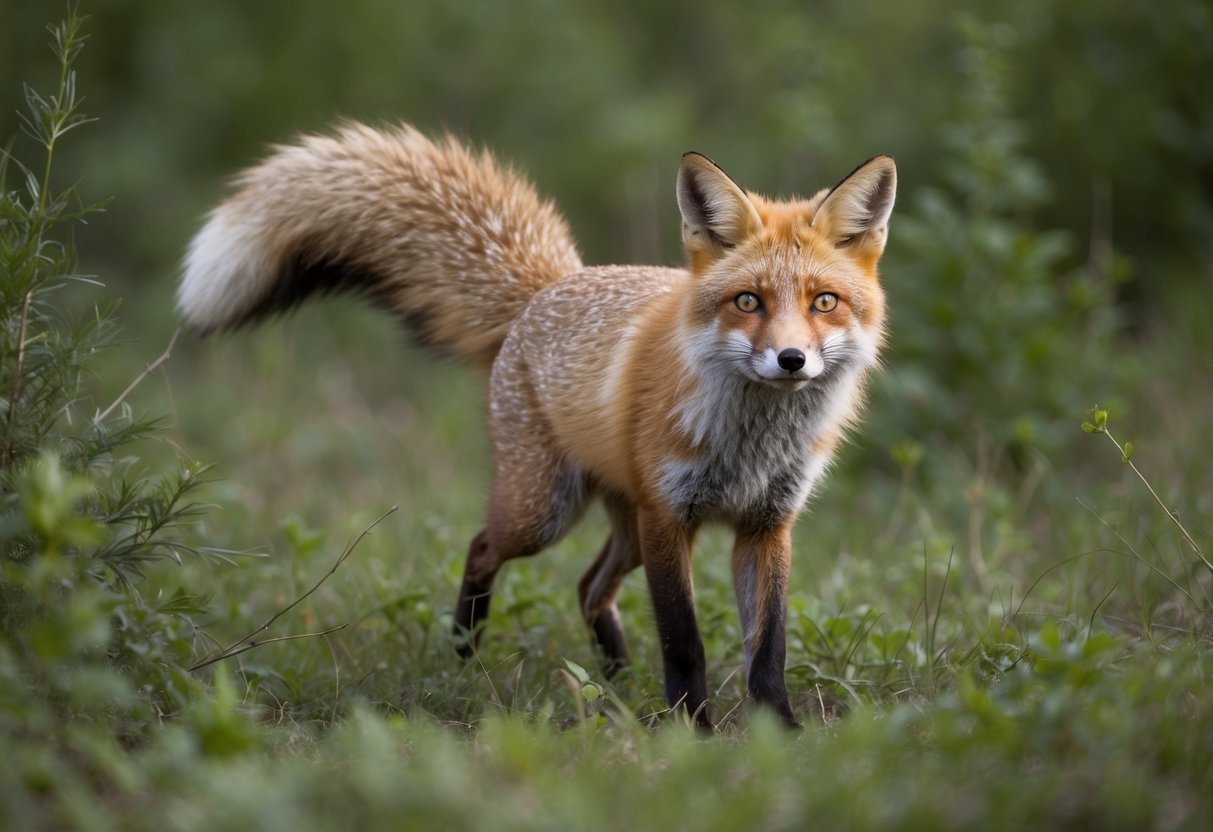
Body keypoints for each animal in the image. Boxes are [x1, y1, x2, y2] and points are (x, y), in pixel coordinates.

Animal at [179, 122, 896, 729]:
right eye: (748, 301)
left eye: (823, 302)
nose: (791, 359)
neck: (750, 443)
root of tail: (548, 288)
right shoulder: (670, 519)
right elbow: (683, 639)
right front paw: (693, 728)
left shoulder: (766, 524)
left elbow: (767, 647)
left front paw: (780, 732)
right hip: (547, 512)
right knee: (483, 547)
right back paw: (467, 644)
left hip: (625, 525)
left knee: (588, 588)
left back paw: (613, 678)